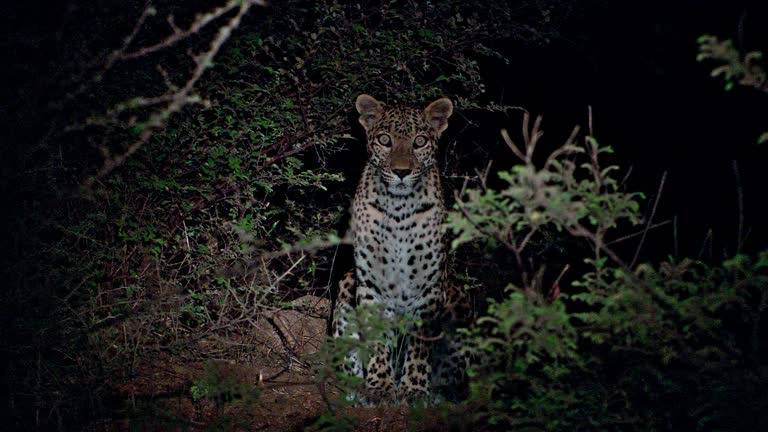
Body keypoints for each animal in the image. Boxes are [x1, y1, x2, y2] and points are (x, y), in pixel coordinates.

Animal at [330, 93, 468, 404]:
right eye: (384, 140)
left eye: (420, 141)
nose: (401, 172)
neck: (399, 209)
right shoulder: (370, 283)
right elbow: (377, 339)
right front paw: (380, 386)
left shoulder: (429, 288)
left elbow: (419, 345)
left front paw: (414, 389)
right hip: (347, 282)